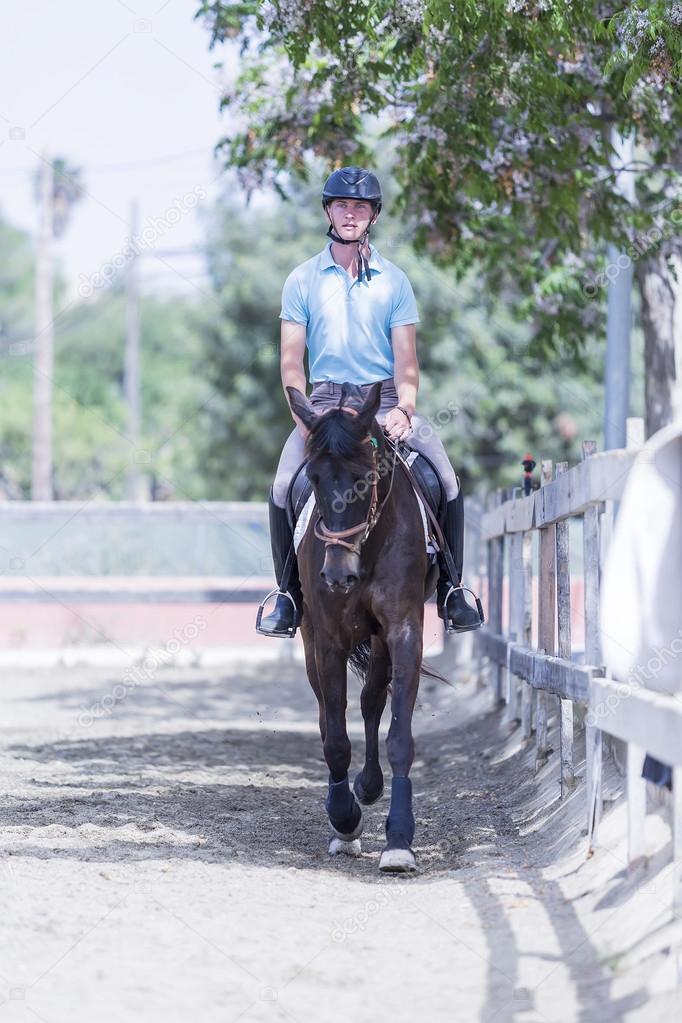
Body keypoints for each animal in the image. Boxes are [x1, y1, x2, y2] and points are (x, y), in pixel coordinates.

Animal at [288, 380, 443, 875]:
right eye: (315, 478)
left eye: (366, 479)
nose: (338, 577)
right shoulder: (328, 639)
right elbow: (335, 737)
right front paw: (344, 820)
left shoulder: (403, 631)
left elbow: (399, 735)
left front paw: (399, 840)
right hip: (311, 639)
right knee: (327, 713)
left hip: (378, 640)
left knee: (373, 699)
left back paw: (370, 785)